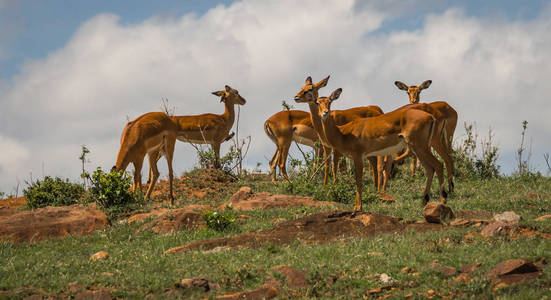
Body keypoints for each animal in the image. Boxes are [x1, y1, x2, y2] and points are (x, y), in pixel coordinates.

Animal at [296, 82, 446, 211]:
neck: (343, 133)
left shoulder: (358, 156)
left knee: (439, 165)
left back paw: (443, 201)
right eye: (318, 102)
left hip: (420, 146)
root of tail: (431, 116)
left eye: (330, 102)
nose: (325, 113)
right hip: (418, 148)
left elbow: (359, 181)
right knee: (430, 169)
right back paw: (424, 201)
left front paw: (358, 207)